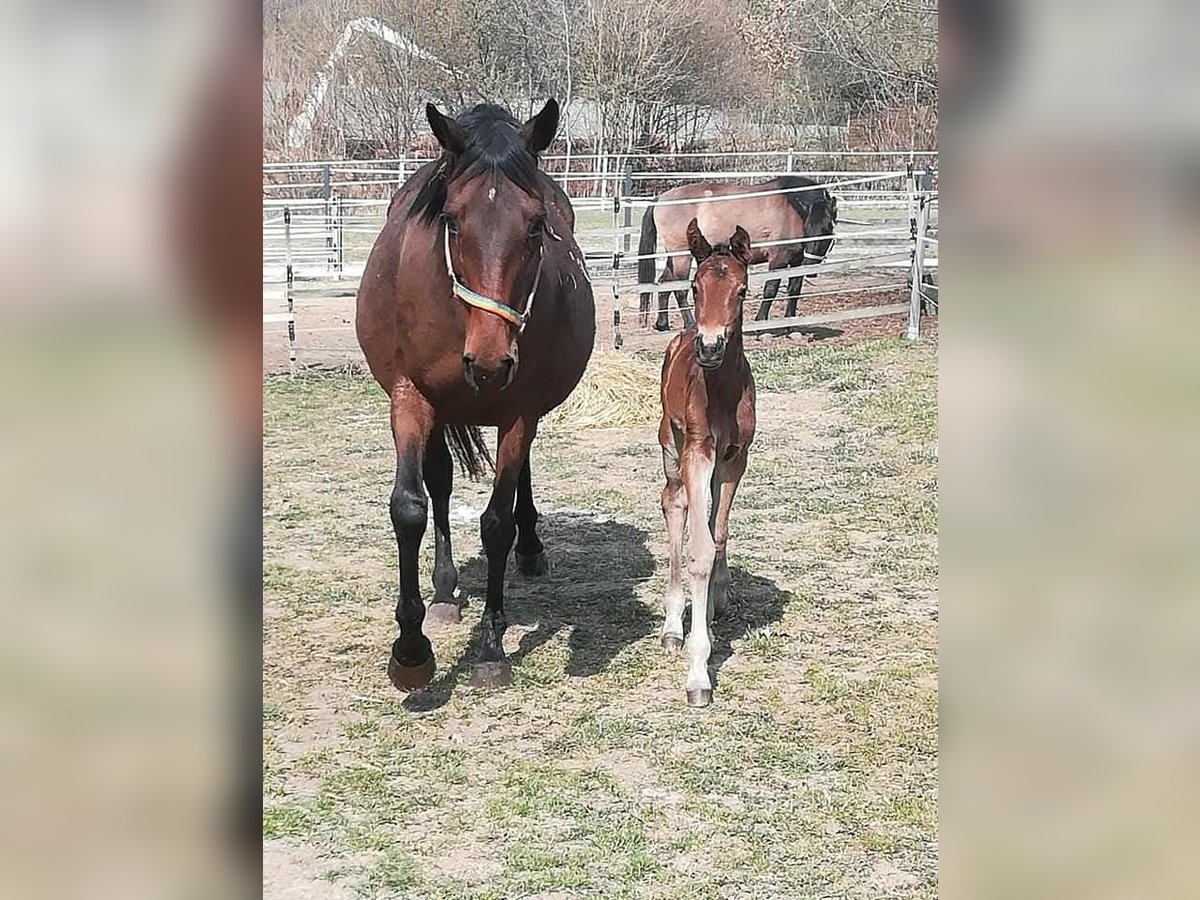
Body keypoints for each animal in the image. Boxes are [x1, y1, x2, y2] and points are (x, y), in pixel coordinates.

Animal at [357, 100, 597, 691]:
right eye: (451, 219)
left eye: (536, 224)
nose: (490, 361)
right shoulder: (411, 399)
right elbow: (410, 507)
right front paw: (411, 649)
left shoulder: (519, 411)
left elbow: (497, 521)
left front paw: (491, 647)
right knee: (440, 484)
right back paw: (444, 591)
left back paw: (530, 549)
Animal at [633, 176, 840, 331]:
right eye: (809, 228)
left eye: (828, 229)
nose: (811, 266)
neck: (791, 208)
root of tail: (661, 199)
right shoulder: (778, 259)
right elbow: (771, 290)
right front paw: (762, 325)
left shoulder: (796, 260)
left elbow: (794, 290)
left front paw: (791, 326)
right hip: (681, 255)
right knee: (679, 289)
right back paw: (690, 324)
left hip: (674, 256)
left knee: (664, 284)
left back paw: (662, 324)